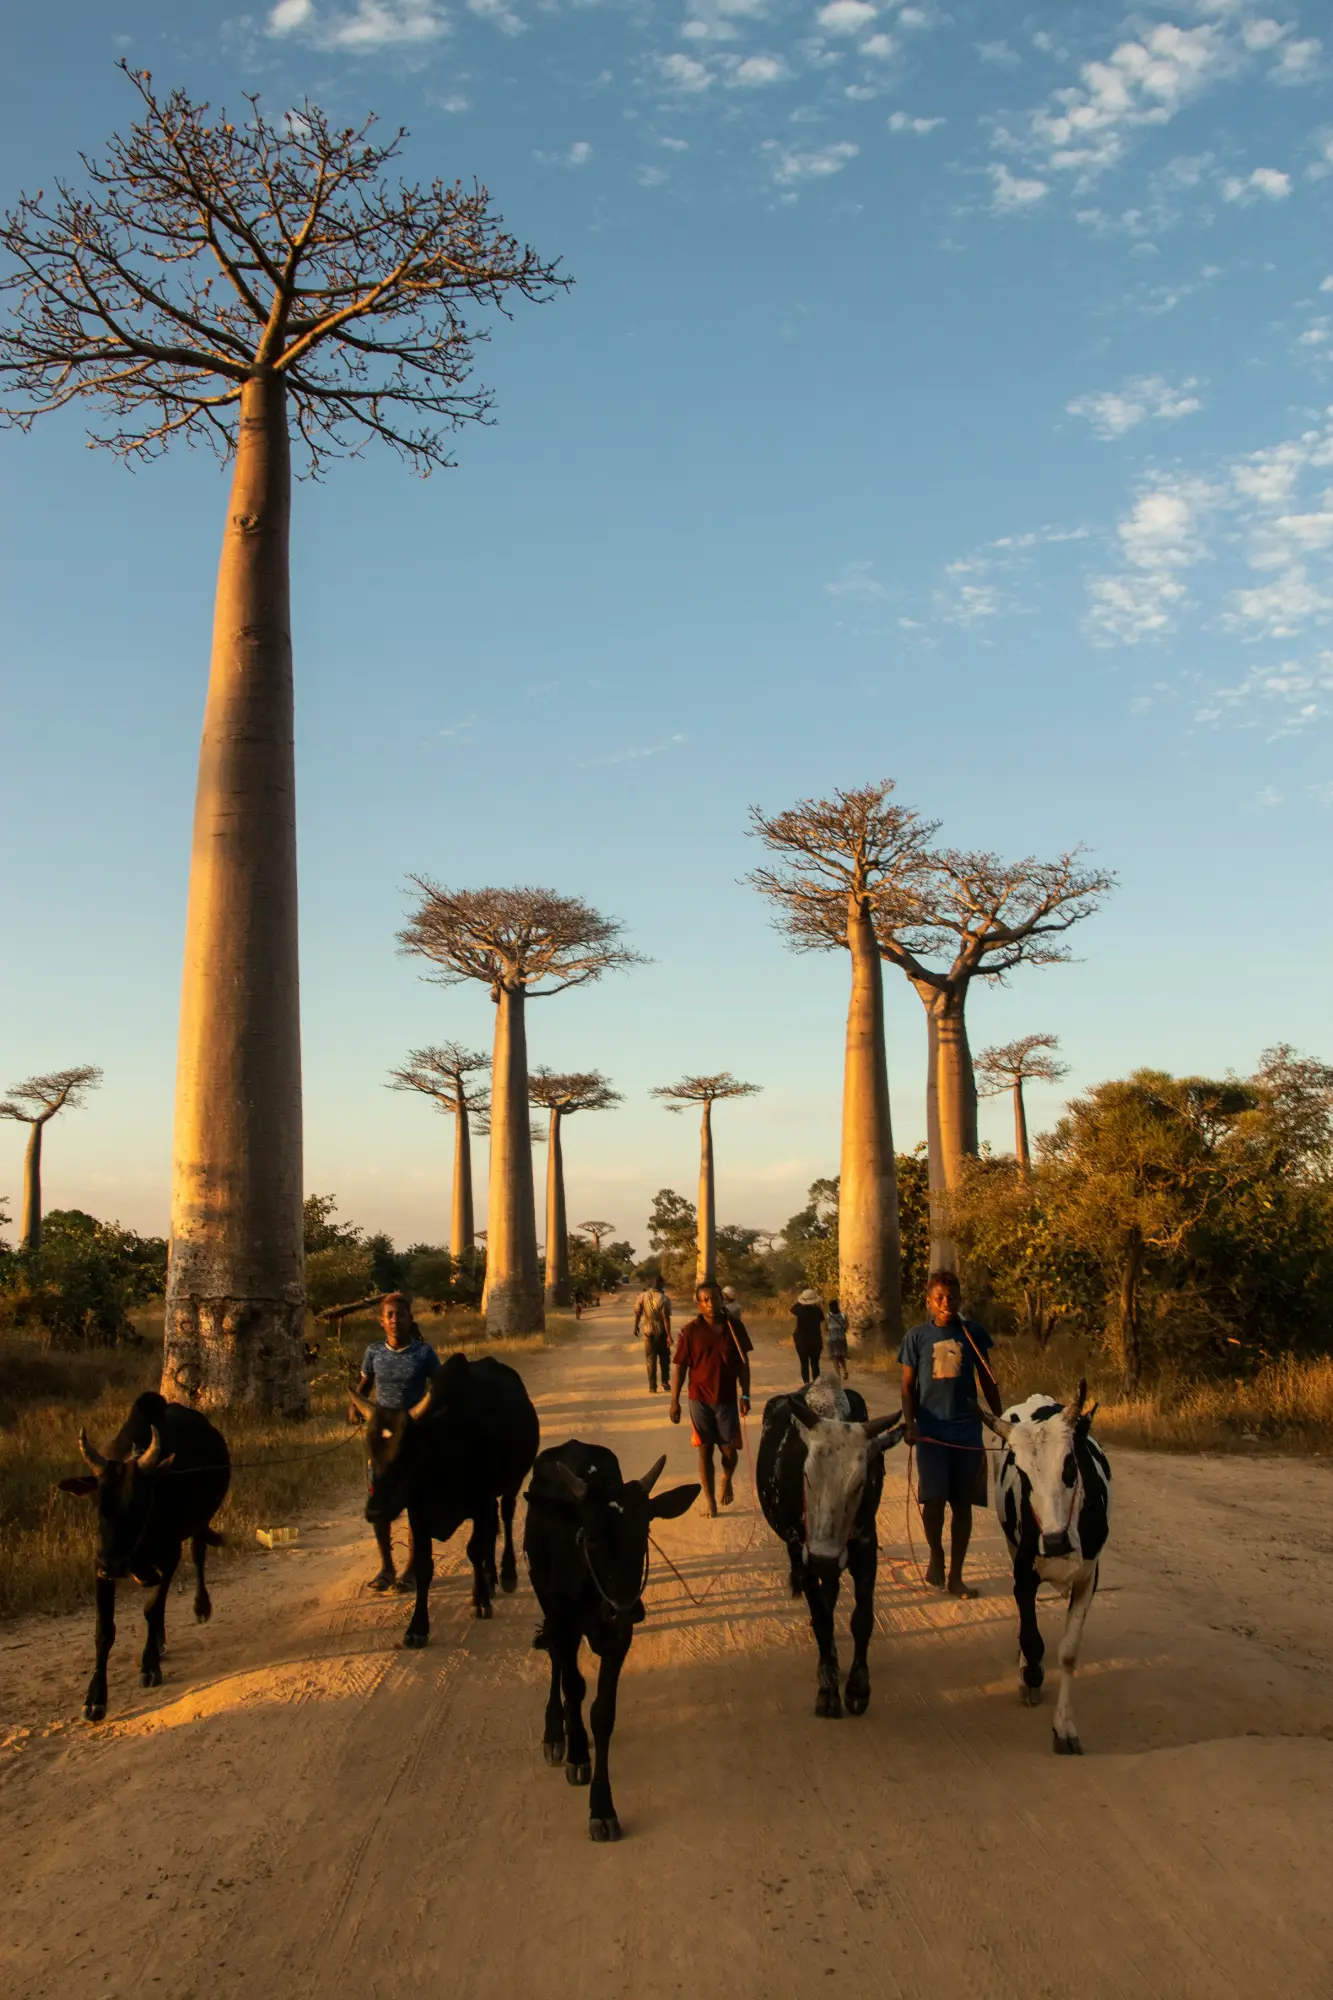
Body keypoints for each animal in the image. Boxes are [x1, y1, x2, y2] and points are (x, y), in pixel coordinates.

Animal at [57, 1392, 231, 1720]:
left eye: (138, 1503)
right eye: (97, 1503)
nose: (115, 1565)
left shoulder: (170, 1555)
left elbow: (151, 1608)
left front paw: (149, 1666)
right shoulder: (99, 1566)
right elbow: (104, 1630)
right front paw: (95, 1697)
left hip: (198, 1524)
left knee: (198, 1555)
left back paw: (200, 1607)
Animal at [356, 1352, 544, 1648]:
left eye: (405, 1452)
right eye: (370, 1450)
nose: (374, 1512)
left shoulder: (480, 1502)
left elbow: (475, 1550)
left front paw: (480, 1601)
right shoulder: (419, 1513)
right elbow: (424, 1566)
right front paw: (417, 1628)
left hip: (511, 1484)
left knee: (506, 1517)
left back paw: (505, 1575)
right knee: (492, 1531)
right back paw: (490, 1578)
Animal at [524, 1440, 700, 1840]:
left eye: (643, 1531)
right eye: (590, 1536)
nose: (625, 1609)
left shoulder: (620, 1638)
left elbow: (603, 1713)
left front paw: (602, 1806)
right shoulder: (565, 1623)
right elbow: (574, 1687)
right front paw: (576, 1753)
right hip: (549, 1607)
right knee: (557, 1662)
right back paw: (555, 1731)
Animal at [756, 1376, 904, 1720]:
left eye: (860, 1482)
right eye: (807, 1475)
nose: (824, 1559)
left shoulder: (865, 1545)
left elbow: (862, 1618)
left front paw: (857, 1689)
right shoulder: (804, 1552)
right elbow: (823, 1621)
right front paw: (828, 1691)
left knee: (832, 1590)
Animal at [980, 1384, 1104, 1760]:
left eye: (1069, 1465)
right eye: (1022, 1474)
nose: (1054, 1541)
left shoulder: (1088, 1579)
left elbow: (1069, 1654)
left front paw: (1064, 1728)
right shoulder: (1023, 1574)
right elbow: (1031, 1638)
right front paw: (1031, 1675)